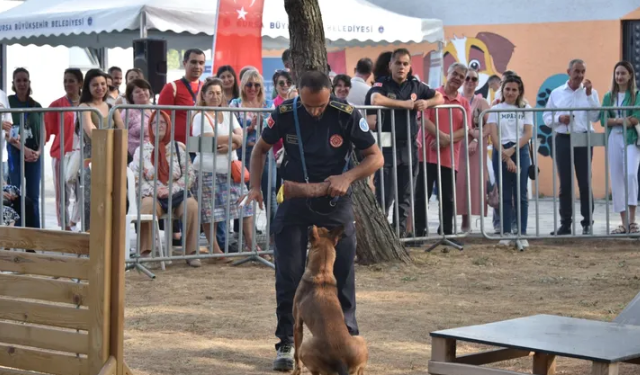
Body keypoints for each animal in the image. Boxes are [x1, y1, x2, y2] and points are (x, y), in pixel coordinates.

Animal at [292, 226, 368, 375]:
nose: (308, 226)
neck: (322, 273)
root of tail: (340, 359)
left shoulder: (297, 325)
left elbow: (296, 355)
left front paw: (296, 370)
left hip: (305, 347)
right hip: (361, 340)